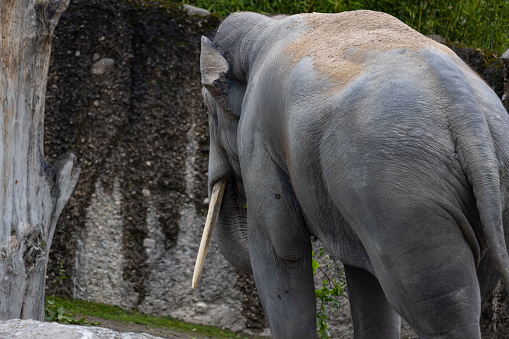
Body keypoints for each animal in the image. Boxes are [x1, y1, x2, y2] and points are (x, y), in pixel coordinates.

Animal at [190, 9, 508, 338]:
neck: (263, 29)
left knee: (430, 296)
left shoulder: (257, 137)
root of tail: (467, 116)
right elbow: (364, 275)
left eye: (207, 107)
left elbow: (282, 248)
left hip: (402, 202)